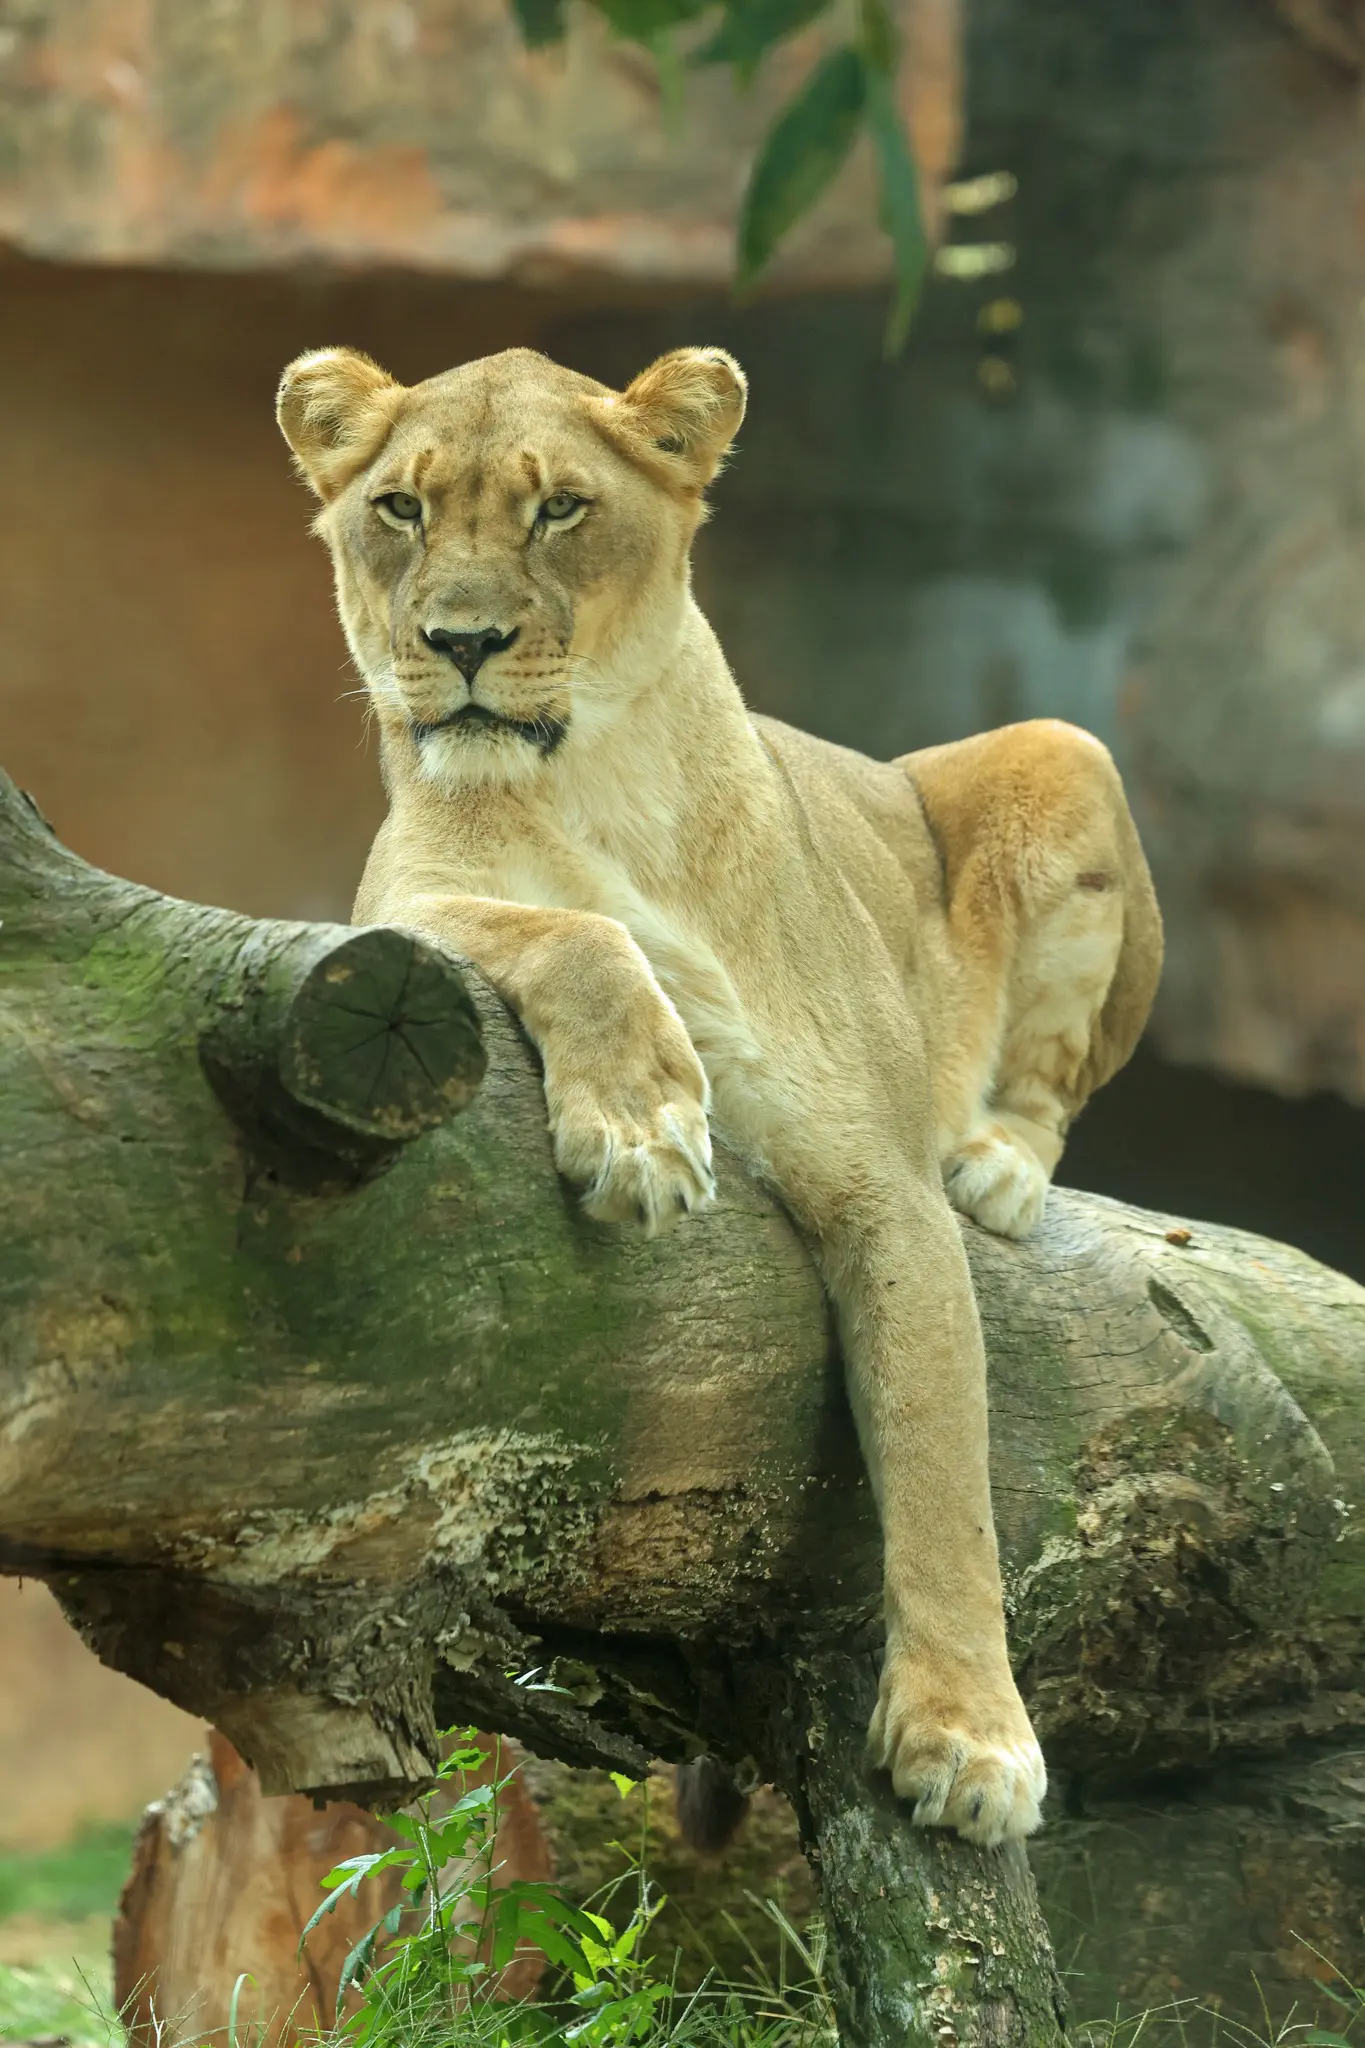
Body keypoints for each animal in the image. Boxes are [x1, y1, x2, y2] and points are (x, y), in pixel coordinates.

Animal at [276, 341, 1162, 1847]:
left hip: (1059, 749)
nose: (459, 642)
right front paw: (643, 1129)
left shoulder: (881, 1190)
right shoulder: (389, 910)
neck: (598, 787)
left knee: (1050, 1086)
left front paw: (971, 1742)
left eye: (560, 508)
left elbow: (946, 1472)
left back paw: (996, 1161)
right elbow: (573, 931)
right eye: (399, 508)